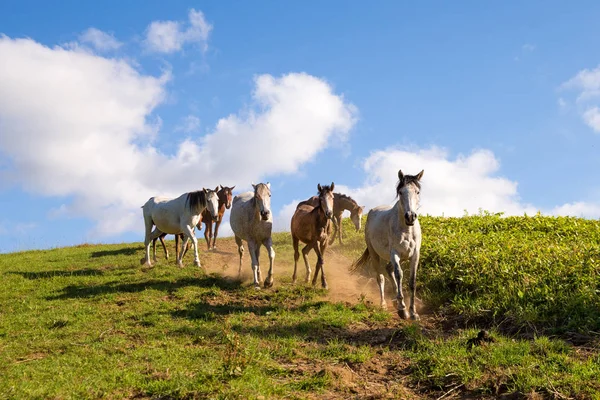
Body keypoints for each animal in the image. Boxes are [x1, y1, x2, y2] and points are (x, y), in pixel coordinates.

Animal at [350, 170, 424, 320]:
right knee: (381, 277)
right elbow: (399, 274)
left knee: (388, 269)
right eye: (401, 192)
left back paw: (395, 301)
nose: (410, 216)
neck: (406, 229)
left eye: (417, 192)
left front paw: (413, 312)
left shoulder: (415, 255)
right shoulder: (394, 253)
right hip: (374, 254)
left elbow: (412, 281)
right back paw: (384, 304)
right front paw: (403, 310)